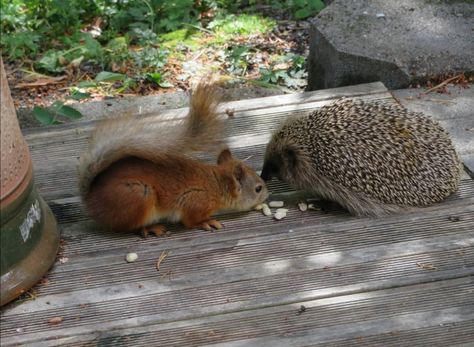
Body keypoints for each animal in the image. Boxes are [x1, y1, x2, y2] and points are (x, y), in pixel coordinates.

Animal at [79, 83, 268, 238]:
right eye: (258, 189)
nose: (267, 195)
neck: (217, 185)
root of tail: (91, 200)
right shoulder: (194, 202)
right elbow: (190, 221)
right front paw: (206, 222)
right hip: (138, 197)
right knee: (128, 227)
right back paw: (150, 228)